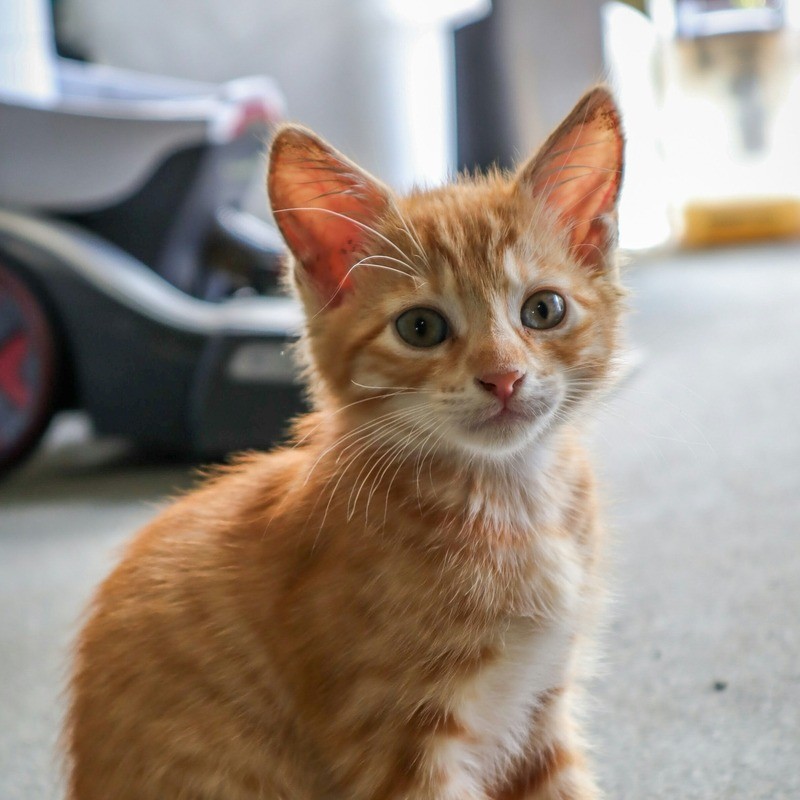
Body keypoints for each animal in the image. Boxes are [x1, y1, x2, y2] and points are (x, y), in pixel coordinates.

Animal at [65, 87, 624, 800]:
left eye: (543, 310)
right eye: (420, 327)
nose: (503, 377)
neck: (508, 501)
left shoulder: (541, 710)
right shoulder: (394, 740)